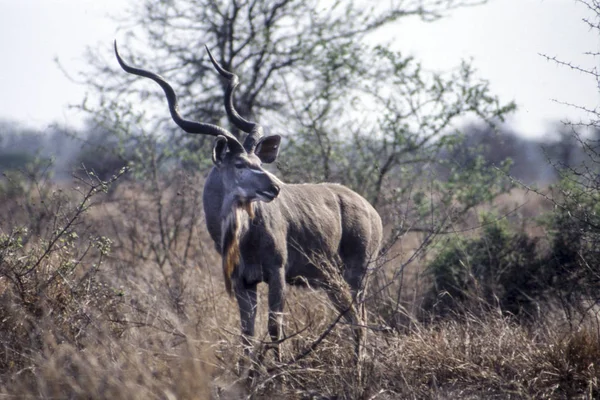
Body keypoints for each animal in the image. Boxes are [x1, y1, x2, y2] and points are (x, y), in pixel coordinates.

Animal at [115, 40, 382, 368]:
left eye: (259, 162)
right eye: (240, 164)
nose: (275, 187)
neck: (244, 236)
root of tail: (371, 211)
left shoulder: (277, 273)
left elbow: (274, 325)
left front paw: (277, 371)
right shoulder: (245, 282)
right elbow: (247, 332)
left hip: (356, 274)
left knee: (359, 317)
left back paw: (360, 366)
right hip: (333, 280)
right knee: (356, 315)